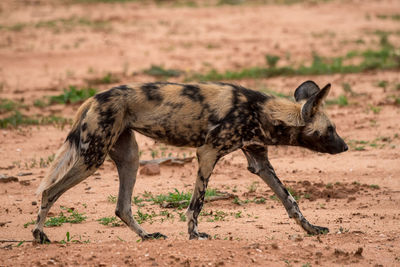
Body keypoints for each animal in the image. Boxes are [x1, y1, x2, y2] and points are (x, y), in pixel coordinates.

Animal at [33, 80, 346, 244]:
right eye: (330, 129)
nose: (344, 146)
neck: (262, 112)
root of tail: (93, 97)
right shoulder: (207, 153)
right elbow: (197, 203)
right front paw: (194, 234)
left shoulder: (259, 162)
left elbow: (291, 201)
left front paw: (311, 229)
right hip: (92, 159)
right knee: (49, 192)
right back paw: (39, 235)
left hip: (129, 158)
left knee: (122, 207)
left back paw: (147, 236)